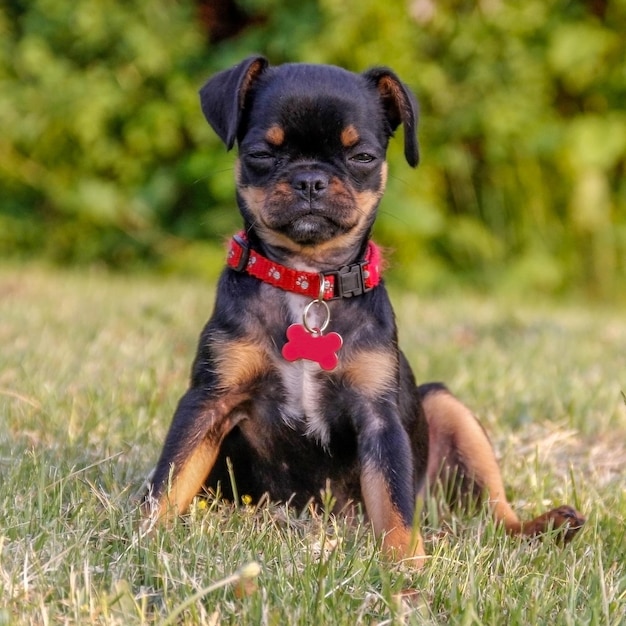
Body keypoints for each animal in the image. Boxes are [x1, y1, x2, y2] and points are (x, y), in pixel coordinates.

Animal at [144, 57, 584, 560]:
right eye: (261, 154)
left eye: (362, 158)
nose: (310, 180)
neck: (310, 281)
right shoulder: (209, 400)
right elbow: (170, 479)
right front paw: (142, 539)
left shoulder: (379, 418)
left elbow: (394, 503)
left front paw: (406, 565)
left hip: (447, 408)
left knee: (495, 511)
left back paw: (547, 525)